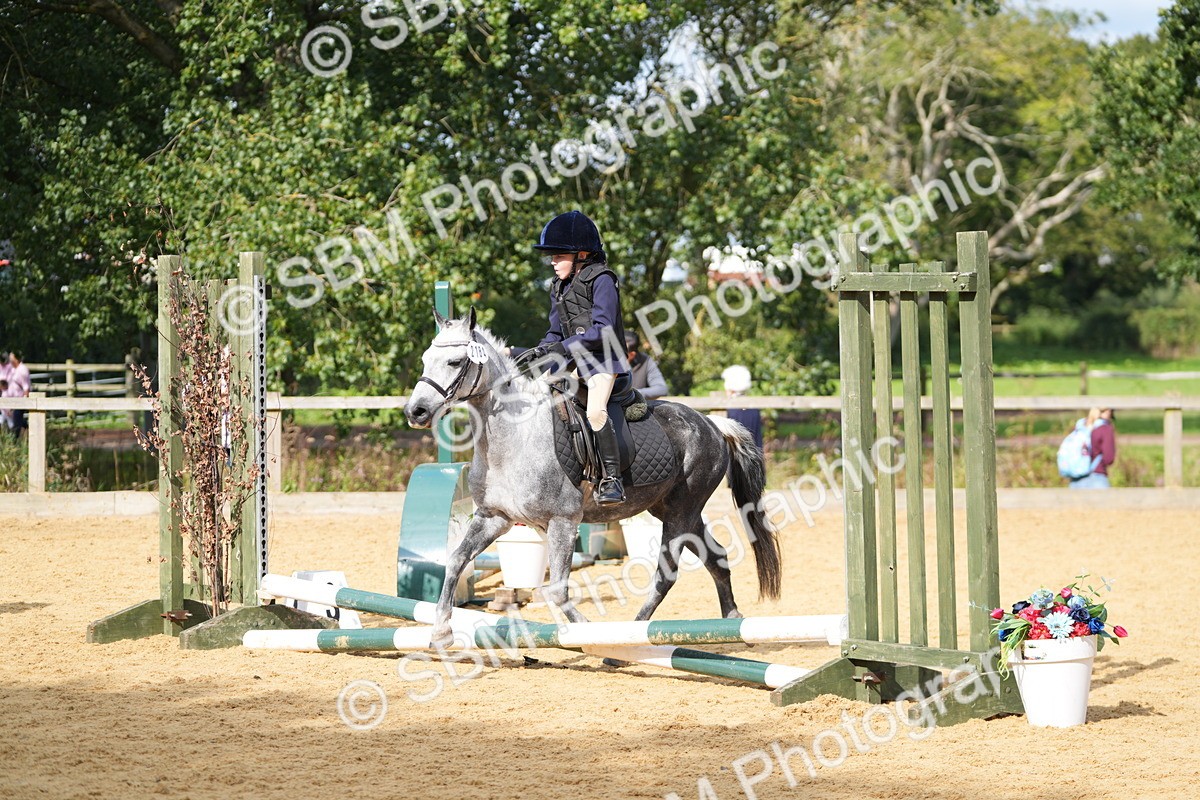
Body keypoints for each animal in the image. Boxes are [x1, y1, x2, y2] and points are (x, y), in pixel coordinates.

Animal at [403, 309, 781, 648]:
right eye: (425, 359)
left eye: (455, 362)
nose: (415, 412)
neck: (514, 438)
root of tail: (713, 423)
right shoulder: (494, 518)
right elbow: (455, 560)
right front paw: (441, 632)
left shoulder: (563, 521)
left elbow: (557, 589)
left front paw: (585, 632)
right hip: (674, 510)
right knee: (716, 558)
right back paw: (732, 621)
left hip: (680, 512)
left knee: (665, 574)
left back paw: (628, 641)